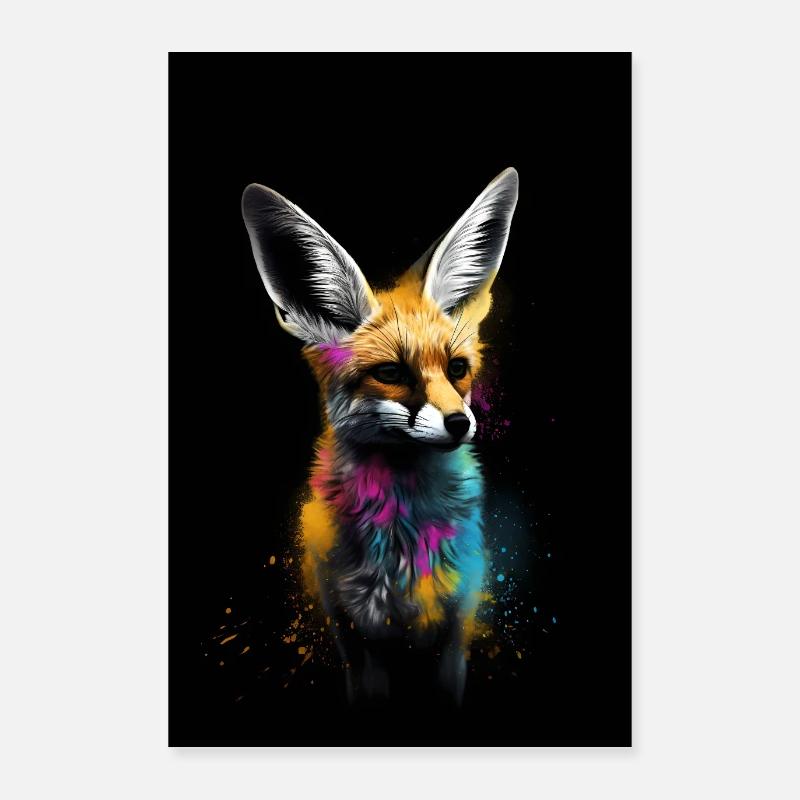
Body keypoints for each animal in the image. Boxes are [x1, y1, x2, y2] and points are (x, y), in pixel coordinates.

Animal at [241, 168, 519, 707]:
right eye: (390, 372)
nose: (460, 423)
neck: (405, 541)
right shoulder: (352, 629)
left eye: (457, 369)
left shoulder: (458, 621)